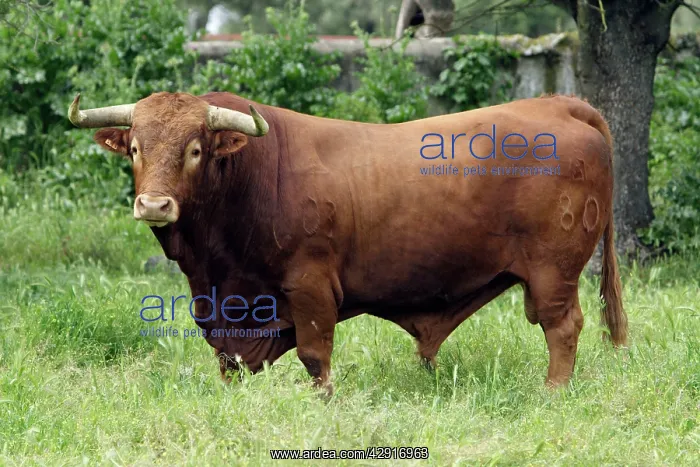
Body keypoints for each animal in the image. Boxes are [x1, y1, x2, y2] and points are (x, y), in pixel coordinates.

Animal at [68, 91, 627, 393]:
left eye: (195, 149)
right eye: (135, 148)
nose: (154, 205)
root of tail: (559, 105)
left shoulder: (311, 287)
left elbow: (316, 356)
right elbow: (230, 361)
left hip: (554, 272)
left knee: (562, 328)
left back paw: (553, 393)